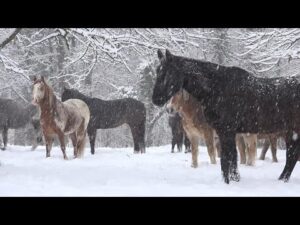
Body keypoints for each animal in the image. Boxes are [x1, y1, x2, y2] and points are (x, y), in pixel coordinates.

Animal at [154, 48, 300, 183]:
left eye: (168, 73)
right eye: (157, 71)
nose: (156, 99)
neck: (218, 87)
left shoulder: (226, 130)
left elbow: (228, 157)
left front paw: (229, 181)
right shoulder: (222, 132)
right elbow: (229, 158)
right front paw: (233, 180)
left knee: (291, 156)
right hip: (290, 132)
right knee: (291, 156)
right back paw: (282, 179)